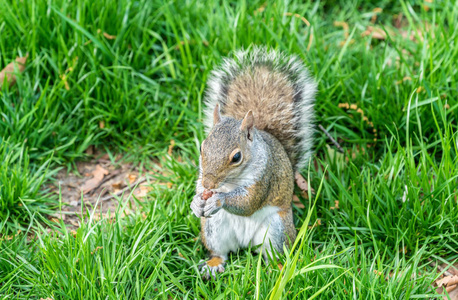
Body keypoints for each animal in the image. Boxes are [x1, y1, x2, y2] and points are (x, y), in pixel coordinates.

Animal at [189, 46, 314, 278]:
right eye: (202, 147)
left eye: (236, 157)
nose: (209, 184)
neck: (229, 183)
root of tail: (245, 243)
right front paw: (196, 202)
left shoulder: (265, 176)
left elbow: (248, 203)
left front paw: (218, 200)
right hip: (213, 228)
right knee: (221, 252)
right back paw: (214, 265)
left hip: (276, 229)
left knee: (273, 254)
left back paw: (275, 269)